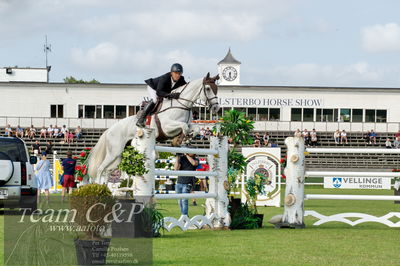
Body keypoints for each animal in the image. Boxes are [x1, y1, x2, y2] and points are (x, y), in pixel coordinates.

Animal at [87, 74, 220, 184]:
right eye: (208, 88)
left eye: (216, 89)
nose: (216, 108)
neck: (182, 106)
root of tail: (109, 131)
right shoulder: (167, 126)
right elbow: (184, 127)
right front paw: (178, 140)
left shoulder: (187, 124)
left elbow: (194, 128)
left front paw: (186, 139)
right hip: (114, 152)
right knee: (100, 169)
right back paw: (97, 188)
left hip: (118, 156)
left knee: (107, 171)